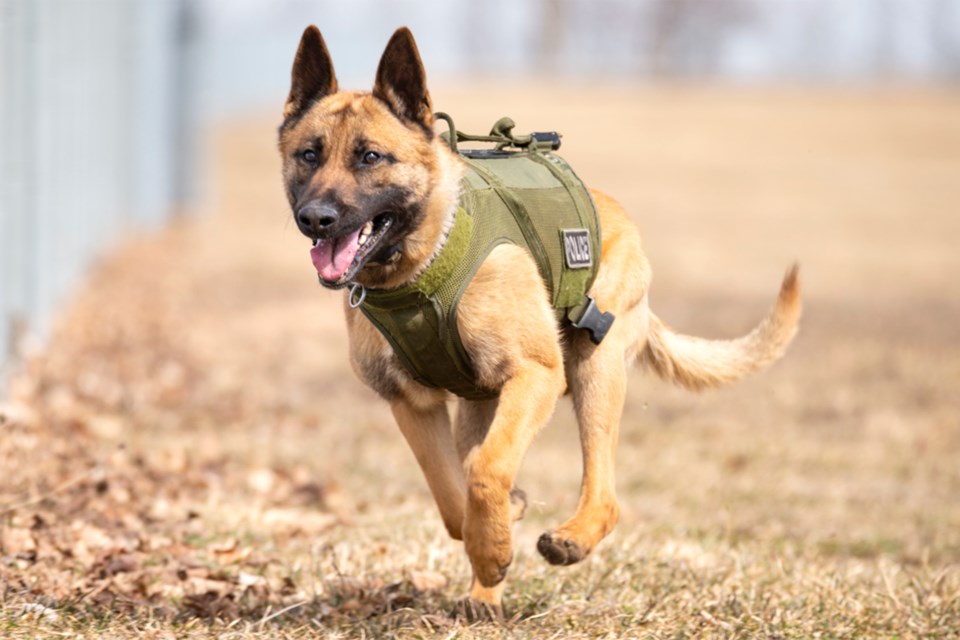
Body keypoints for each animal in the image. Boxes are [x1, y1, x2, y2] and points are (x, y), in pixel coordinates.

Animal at [278, 27, 804, 616]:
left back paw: (572, 537)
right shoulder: (412, 405)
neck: (420, 268)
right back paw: (486, 588)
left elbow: (485, 473)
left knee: (602, 488)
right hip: (481, 405)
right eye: (308, 155)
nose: (315, 219)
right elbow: (452, 499)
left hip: (594, 367)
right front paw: (495, 536)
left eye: (370, 157)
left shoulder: (535, 375)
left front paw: (494, 547)